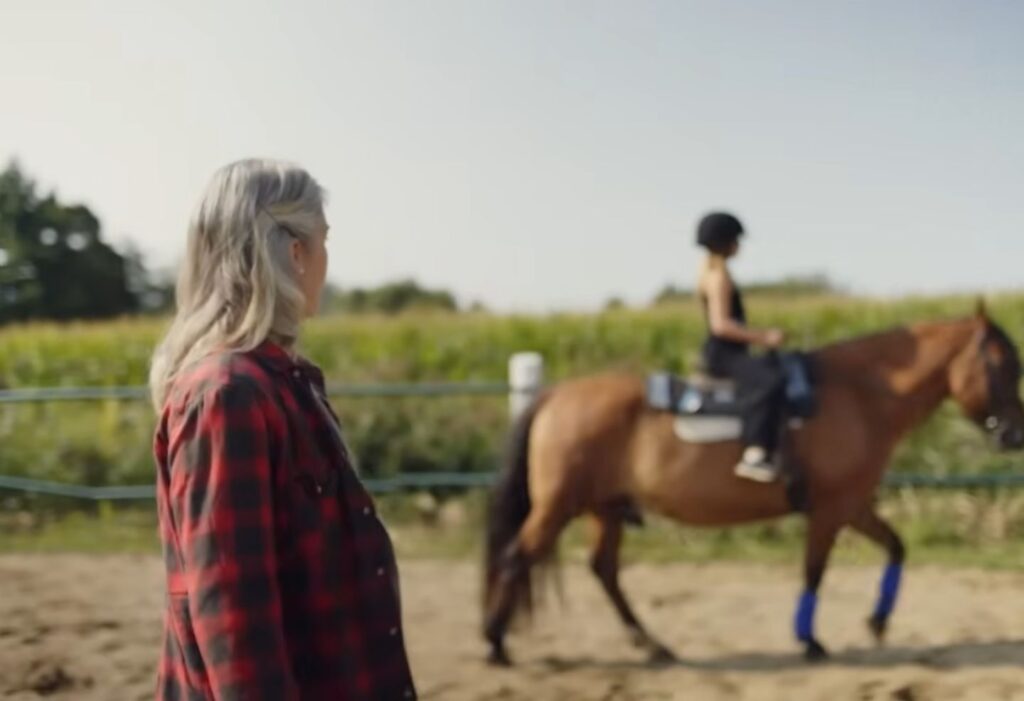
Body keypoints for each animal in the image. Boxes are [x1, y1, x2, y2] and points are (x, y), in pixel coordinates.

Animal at [482, 306, 1024, 665]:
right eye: (1001, 364)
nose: (1013, 435)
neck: (859, 394)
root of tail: (556, 395)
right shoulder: (831, 509)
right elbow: (814, 572)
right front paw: (809, 640)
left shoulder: (852, 504)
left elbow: (896, 548)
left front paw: (878, 621)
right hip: (558, 506)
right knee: (517, 556)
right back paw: (494, 643)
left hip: (605, 508)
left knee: (604, 570)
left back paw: (653, 646)